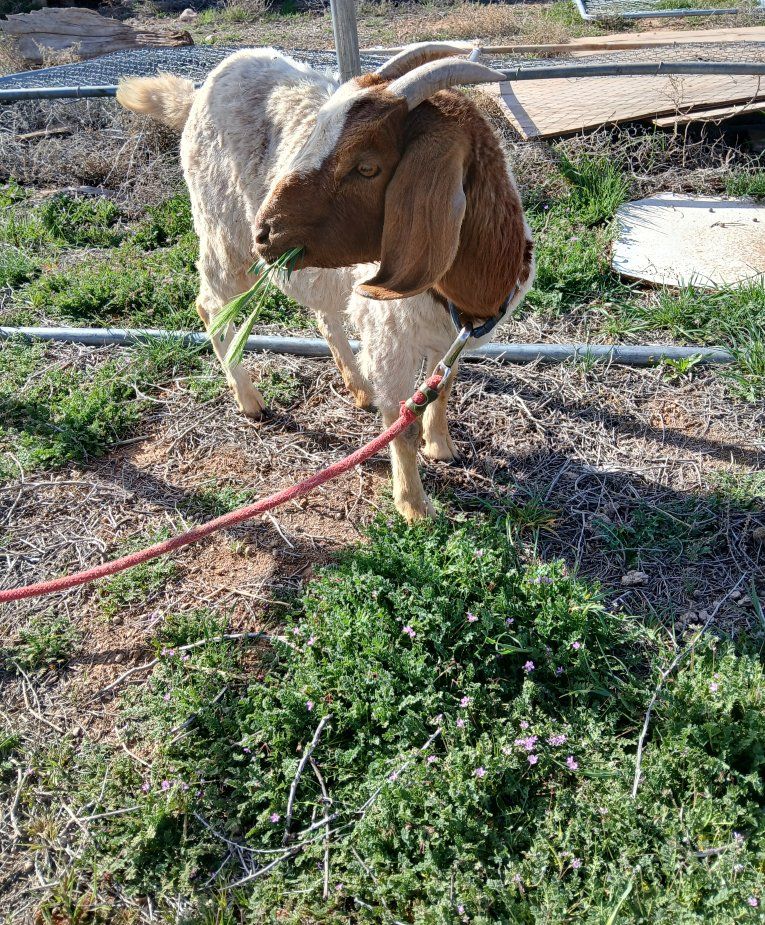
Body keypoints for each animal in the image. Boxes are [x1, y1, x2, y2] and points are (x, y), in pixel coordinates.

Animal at [117, 43, 534, 521]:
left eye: (367, 167)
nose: (266, 233)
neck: (461, 296)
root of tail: (198, 92)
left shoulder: (451, 339)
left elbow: (441, 390)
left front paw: (442, 446)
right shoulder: (391, 342)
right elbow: (400, 423)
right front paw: (414, 506)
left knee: (323, 312)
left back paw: (357, 385)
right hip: (222, 235)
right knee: (210, 305)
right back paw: (249, 399)